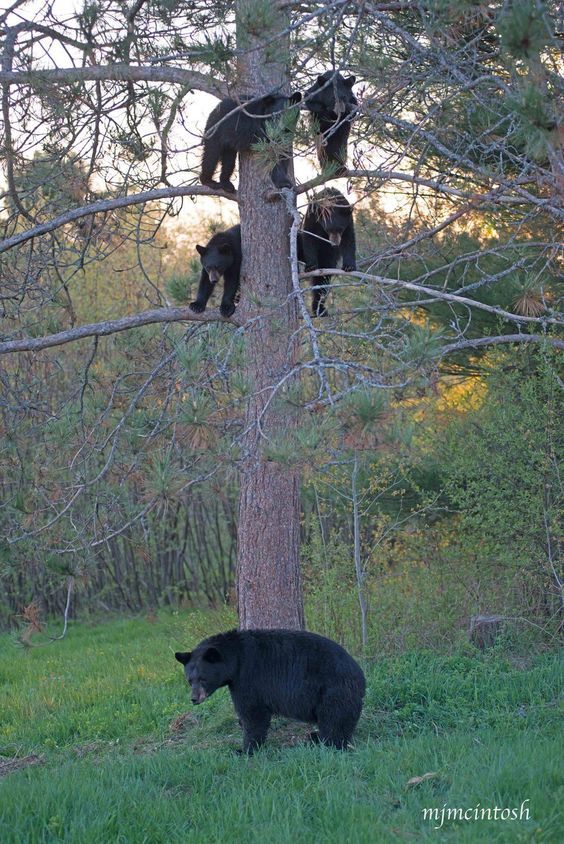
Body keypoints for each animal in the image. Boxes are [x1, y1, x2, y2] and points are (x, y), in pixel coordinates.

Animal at [175, 628, 366, 756]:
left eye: (203, 678)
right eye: (189, 680)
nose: (194, 698)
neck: (236, 659)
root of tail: (360, 675)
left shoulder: (248, 678)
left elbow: (253, 713)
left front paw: (244, 749)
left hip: (333, 691)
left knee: (333, 720)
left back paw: (325, 743)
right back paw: (315, 737)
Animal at [300, 190, 356, 318]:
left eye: (340, 229)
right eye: (328, 229)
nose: (334, 243)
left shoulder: (349, 220)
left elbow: (349, 240)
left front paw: (349, 266)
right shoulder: (312, 216)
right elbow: (309, 237)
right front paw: (311, 266)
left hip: (327, 257)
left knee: (322, 280)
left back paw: (319, 308)